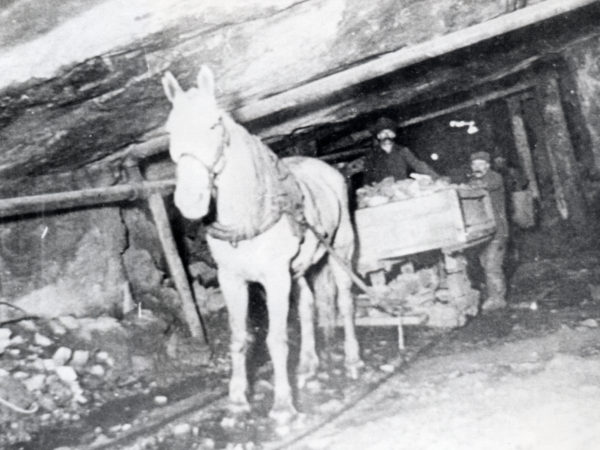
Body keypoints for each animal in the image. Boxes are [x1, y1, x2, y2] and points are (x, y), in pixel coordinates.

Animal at [162, 66, 360, 422]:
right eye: (170, 130)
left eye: (214, 123)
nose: (189, 200)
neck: (248, 215)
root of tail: (327, 169)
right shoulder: (233, 279)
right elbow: (239, 338)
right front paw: (238, 401)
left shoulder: (275, 277)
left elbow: (276, 339)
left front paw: (282, 405)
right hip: (298, 271)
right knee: (307, 306)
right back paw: (308, 366)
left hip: (341, 251)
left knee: (346, 302)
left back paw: (352, 360)